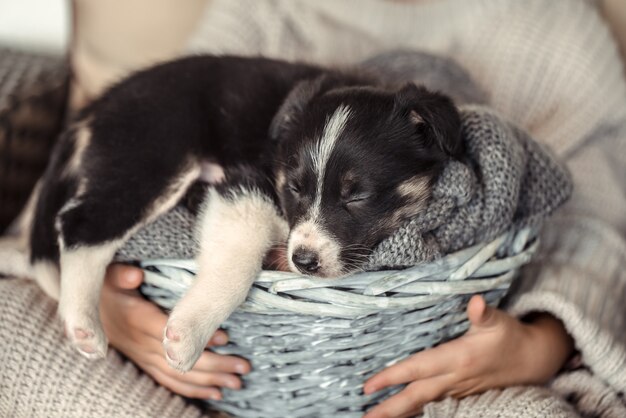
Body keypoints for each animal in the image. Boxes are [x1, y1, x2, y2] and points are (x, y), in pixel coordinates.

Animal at [6, 55, 464, 372]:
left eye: (358, 196)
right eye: (294, 188)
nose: (303, 261)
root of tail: (92, 110)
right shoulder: (244, 186)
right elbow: (235, 266)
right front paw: (187, 335)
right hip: (152, 156)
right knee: (81, 224)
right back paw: (83, 324)